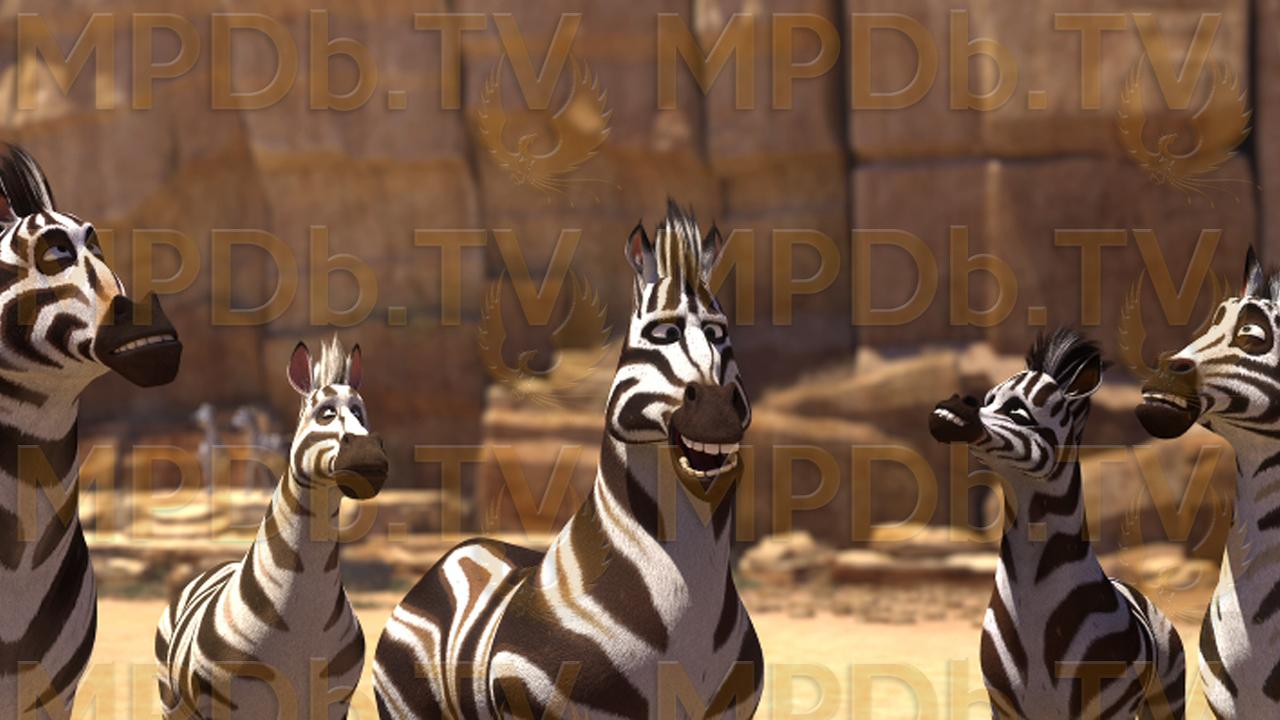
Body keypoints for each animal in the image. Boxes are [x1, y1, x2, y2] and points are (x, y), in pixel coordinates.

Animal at [155, 338, 387, 719]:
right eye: (325, 413)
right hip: (173, 701)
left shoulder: (331, 703)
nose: (370, 458)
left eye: (360, 412)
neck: (301, 613)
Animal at [373, 202, 760, 719]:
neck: (688, 604)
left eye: (721, 335)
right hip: (409, 706)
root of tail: (455, 555)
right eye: (662, 333)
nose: (717, 410)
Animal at [930, 328, 1186, 719]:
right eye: (986, 400)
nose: (945, 412)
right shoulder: (1005, 707)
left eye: (1017, 411)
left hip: (1166, 694)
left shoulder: (1106, 709)